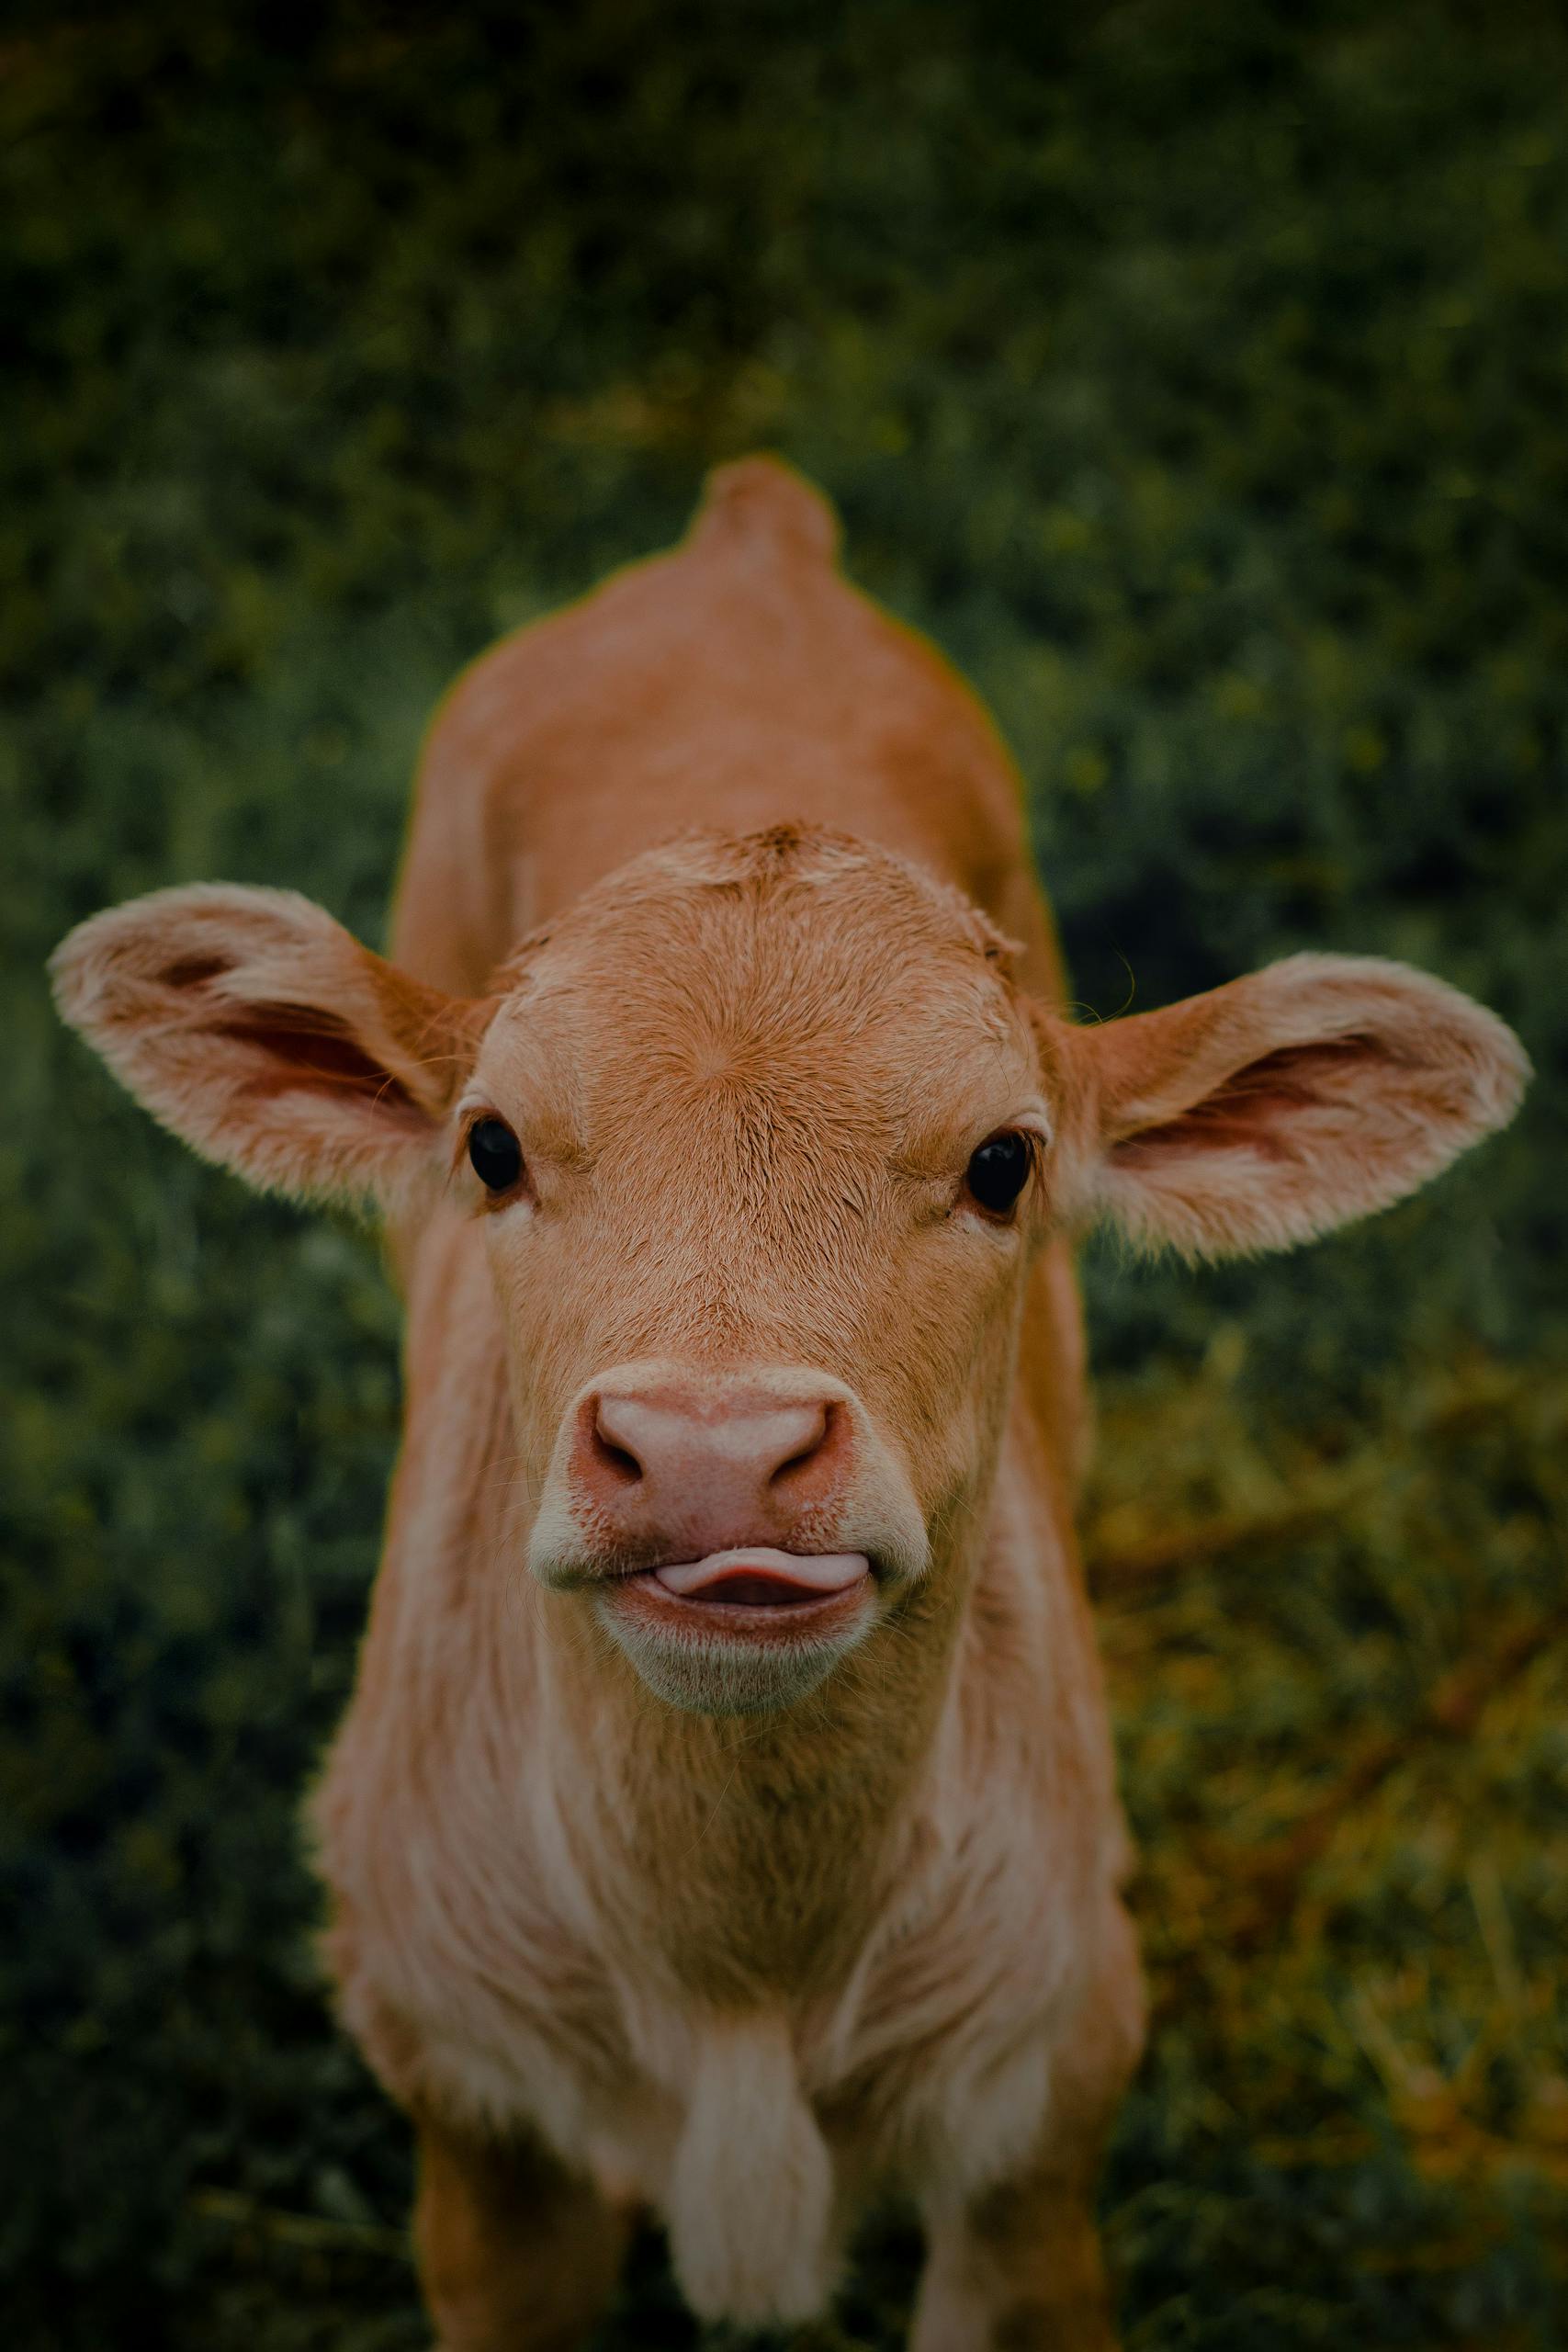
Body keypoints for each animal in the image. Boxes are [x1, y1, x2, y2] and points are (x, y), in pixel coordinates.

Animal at [55, 463, 1523, 2352]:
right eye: (490, 1146)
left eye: (1003, 1163)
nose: (710, 1455)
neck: (736, 1976)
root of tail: (741, 532)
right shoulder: (471, 2128)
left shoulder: (1041, 2132)